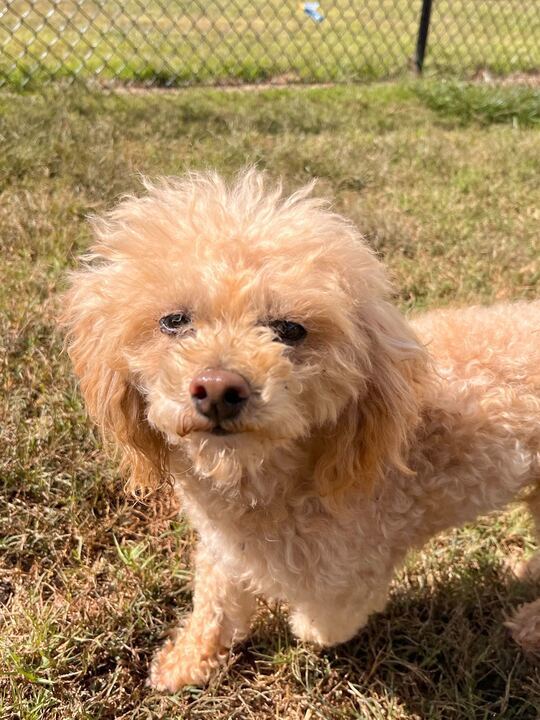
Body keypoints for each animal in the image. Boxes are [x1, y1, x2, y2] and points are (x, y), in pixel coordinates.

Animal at [62, 169, 540, 692]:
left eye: (289, 329)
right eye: (174, 321)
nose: (218, 388)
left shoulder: (352, 574)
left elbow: (325, 622)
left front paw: (303, 630)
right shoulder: (222, 547)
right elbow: (215, 604)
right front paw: (189, 661)